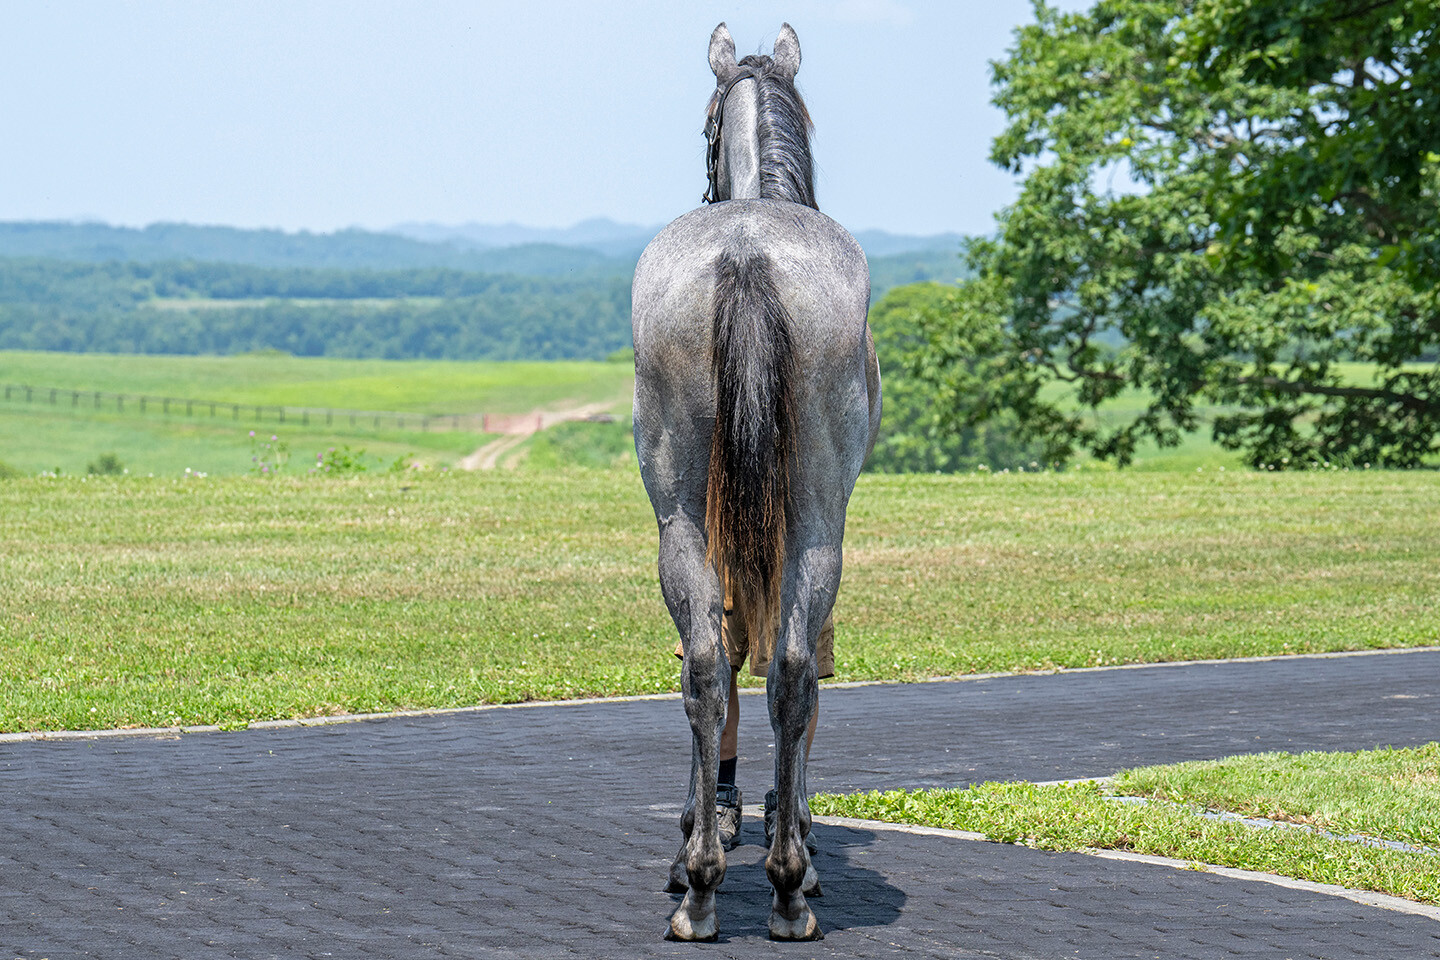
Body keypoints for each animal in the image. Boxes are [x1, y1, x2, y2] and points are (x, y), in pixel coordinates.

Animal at [636, 20, 881, 938]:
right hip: (814, 519)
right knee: (788, 668)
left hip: (683, 518)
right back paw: (782, 879)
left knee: (712, 666)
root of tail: (745, 252)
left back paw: (702, 880)